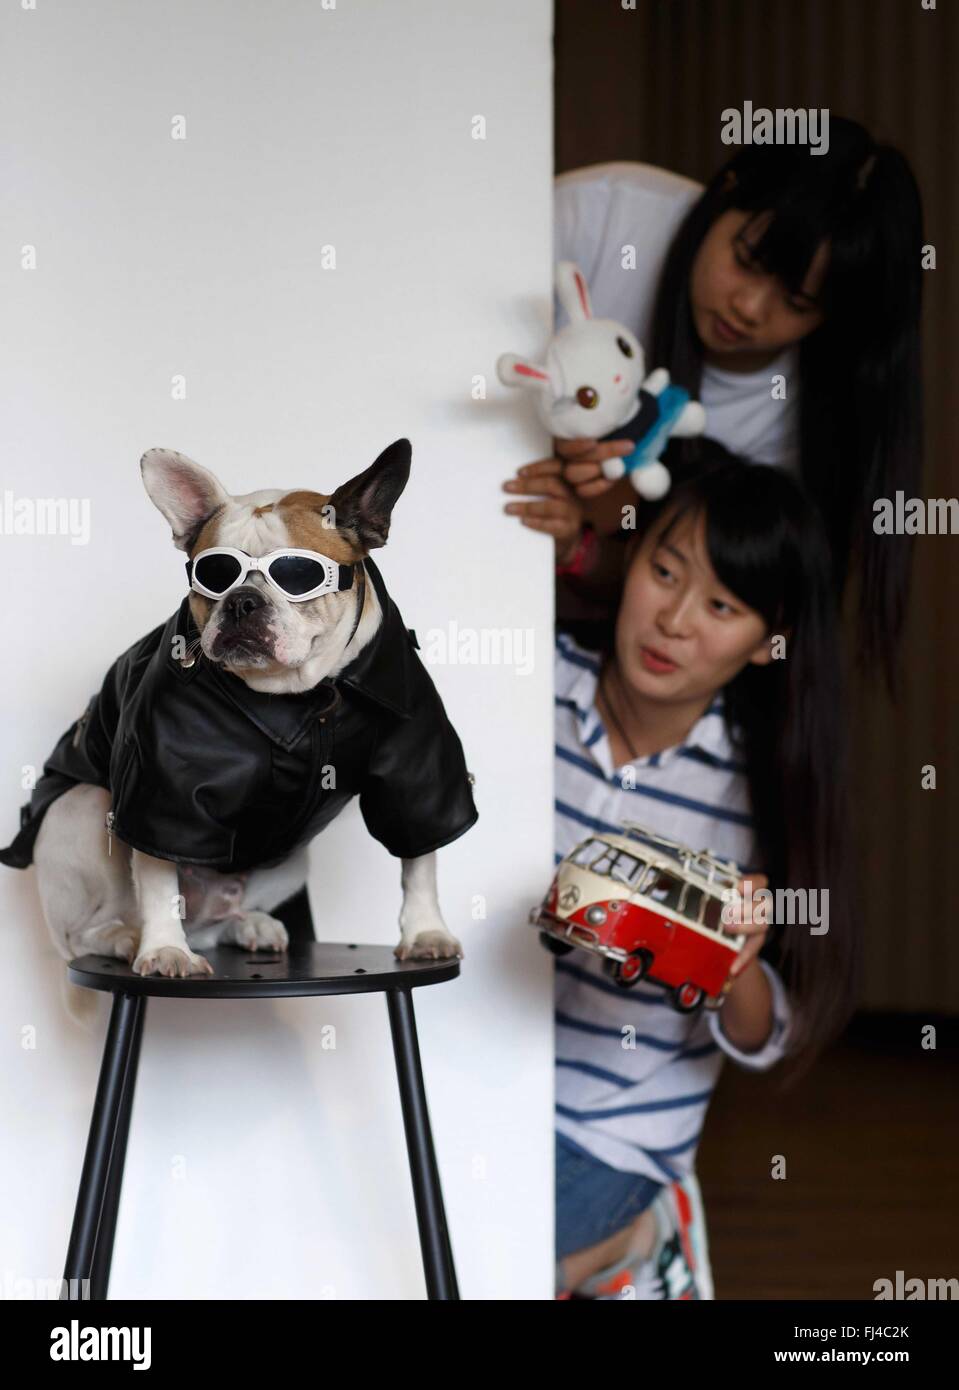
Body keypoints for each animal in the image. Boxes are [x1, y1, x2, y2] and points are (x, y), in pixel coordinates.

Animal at [0, 439, 478, 995]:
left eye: (296, 575)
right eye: (214, 574)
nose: (242, 601)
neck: (306, 696)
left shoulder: (418, 770)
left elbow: (419, 860)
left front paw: (425, 932)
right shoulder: (162, 792)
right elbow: (158, 876)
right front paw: (165, 950)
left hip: (291, 861)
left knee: (213, 924)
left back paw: (247, 925)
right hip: (83, 810)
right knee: (85, 933)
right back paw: (126, 938)